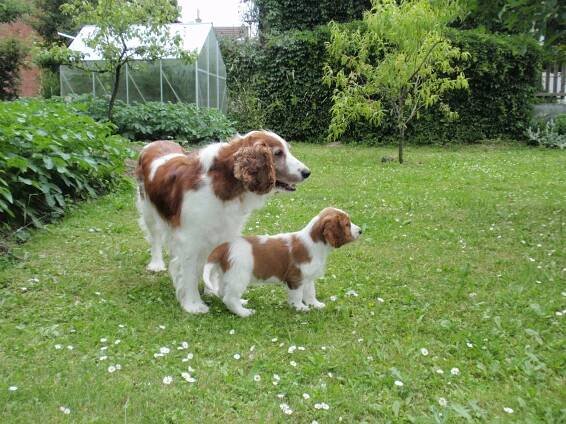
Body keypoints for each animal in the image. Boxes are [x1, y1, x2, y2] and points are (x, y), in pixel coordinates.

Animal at [135, 131, 310, 314]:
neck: (224, 182)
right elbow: (189, 274)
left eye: (288, 150)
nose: (307, 172)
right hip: (147, 209)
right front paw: (193, 304)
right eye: (278, 153)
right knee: (154, 237)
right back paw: (156, 263)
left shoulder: (222, 233)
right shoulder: (190, 240)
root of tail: (155, 143)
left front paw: (212, 290)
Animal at [204, 207, 364, 316]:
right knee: (229, 298)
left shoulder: (307, 278)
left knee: (223, 292)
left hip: (228, 274)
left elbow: (310, 292)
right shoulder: (296, 278)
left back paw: (241, 303)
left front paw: (315, 304)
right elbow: (298, 295)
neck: (314, 243)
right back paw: (244, 312)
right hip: (239, 276)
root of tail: (224, 246)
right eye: (347, 224)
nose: (361, 231)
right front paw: (300, 307)